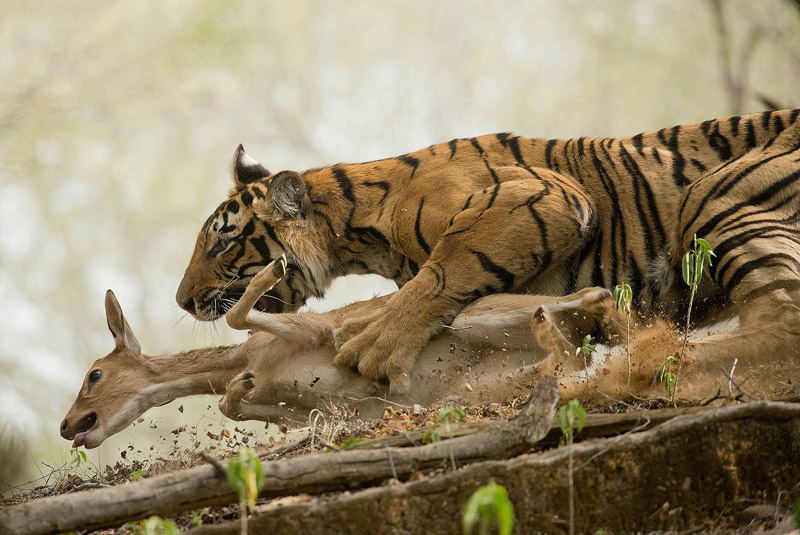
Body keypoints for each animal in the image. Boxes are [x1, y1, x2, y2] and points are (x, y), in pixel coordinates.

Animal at [175, 110, 800, 394]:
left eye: (223, 239)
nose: (182, 302)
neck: (360, 230)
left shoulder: (544, 195)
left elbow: (444, 269)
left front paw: (377, 342)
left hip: (714, 196)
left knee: (782, 324)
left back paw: (638, 361)